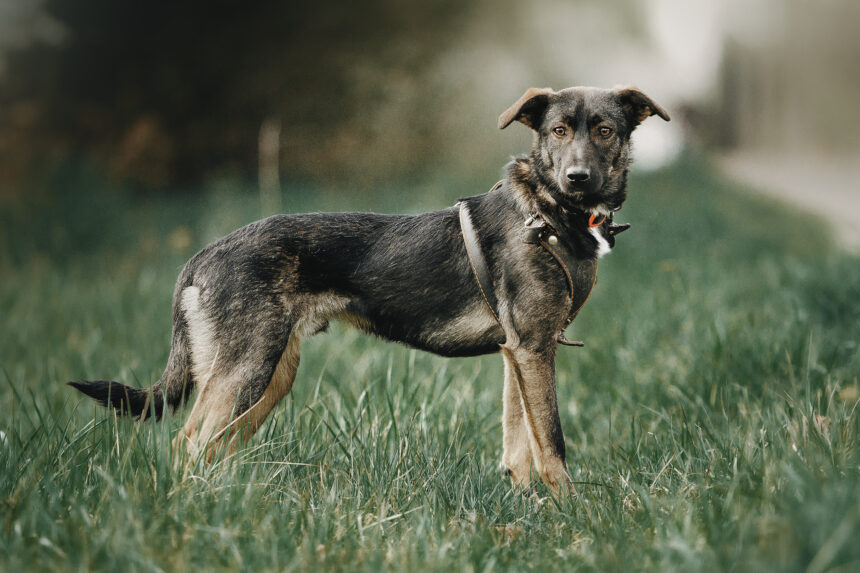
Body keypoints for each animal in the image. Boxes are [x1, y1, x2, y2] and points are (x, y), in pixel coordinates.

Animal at [69, 84, 672, 492]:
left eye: (605, 130)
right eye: (558, 132)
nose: (578, 178)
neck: (549, 213)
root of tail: (202, 256)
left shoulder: (519, 352)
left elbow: (521, 446)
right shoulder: (533, 350)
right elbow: (553, 443)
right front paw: (574, 515)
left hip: (270, 377)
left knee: (212, 447)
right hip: (246, 369)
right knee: (187, 445)